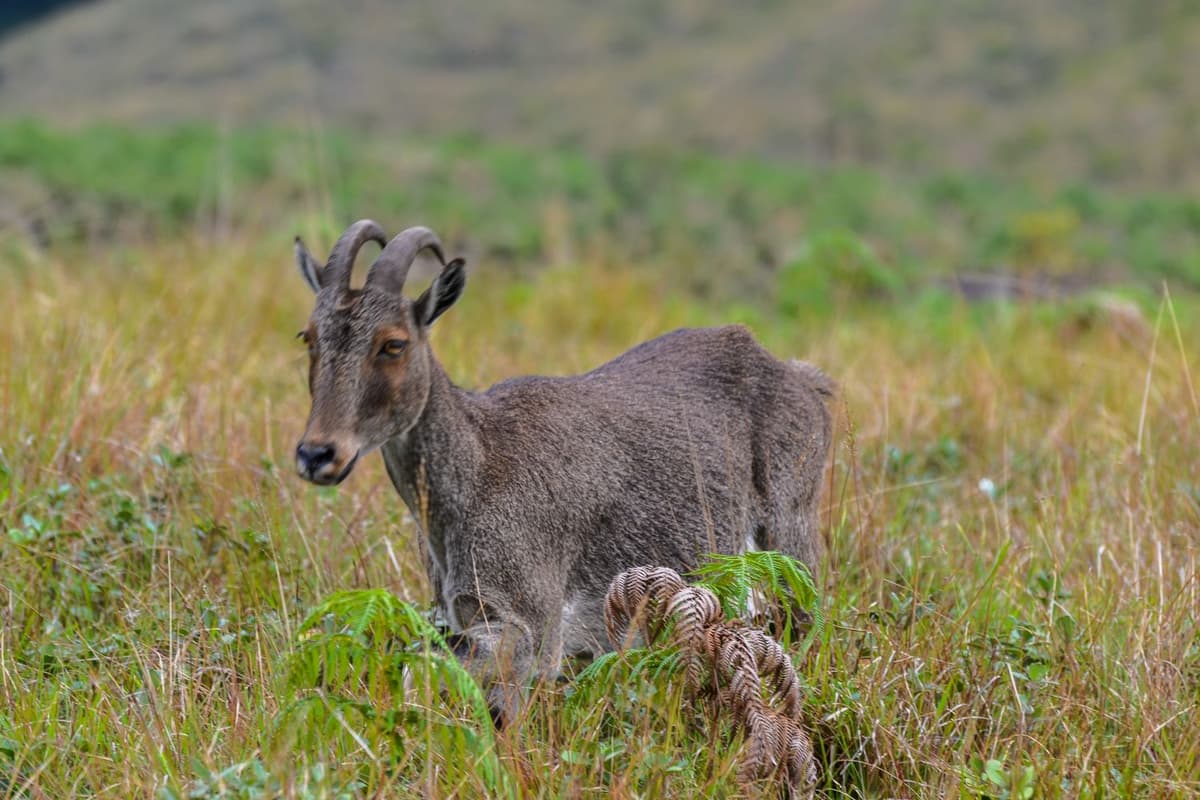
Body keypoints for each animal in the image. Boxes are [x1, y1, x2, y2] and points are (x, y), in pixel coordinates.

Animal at [292, 220, 834, 723]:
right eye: (308, 336)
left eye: (393, 343)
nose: (318, 454)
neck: (474, 469)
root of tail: (804, 380)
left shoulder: (531, 629)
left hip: (790, 538)